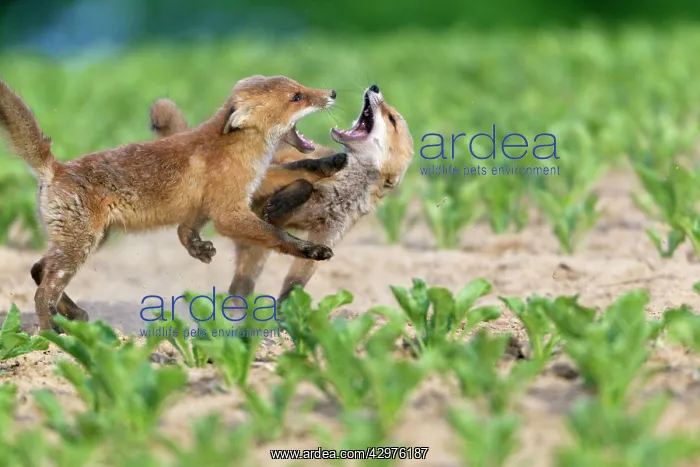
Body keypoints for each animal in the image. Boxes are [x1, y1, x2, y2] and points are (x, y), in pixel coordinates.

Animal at [0, 75, 339, 331]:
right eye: (297, 97)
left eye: (300, 88)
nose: (332, 93)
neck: (236, 149)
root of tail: (56, 168)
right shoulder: (228, 212)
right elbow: (277, 234)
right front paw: (311, 249)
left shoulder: (235, 193)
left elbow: (302, 174)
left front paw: (332, 162)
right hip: (79, 246)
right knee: (43, 291)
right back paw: (51, 337)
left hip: (89, 241)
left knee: (37, 269)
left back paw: (74, 315)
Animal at [148, 84, 414, 306]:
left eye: (391, 119)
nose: (374, 87)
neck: (338, 193)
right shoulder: (269, 177)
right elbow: (303, 183)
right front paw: (281, 202)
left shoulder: (328, 234)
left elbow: (296, 282)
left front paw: (289, 317)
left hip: (255, 251)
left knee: (239, 289)